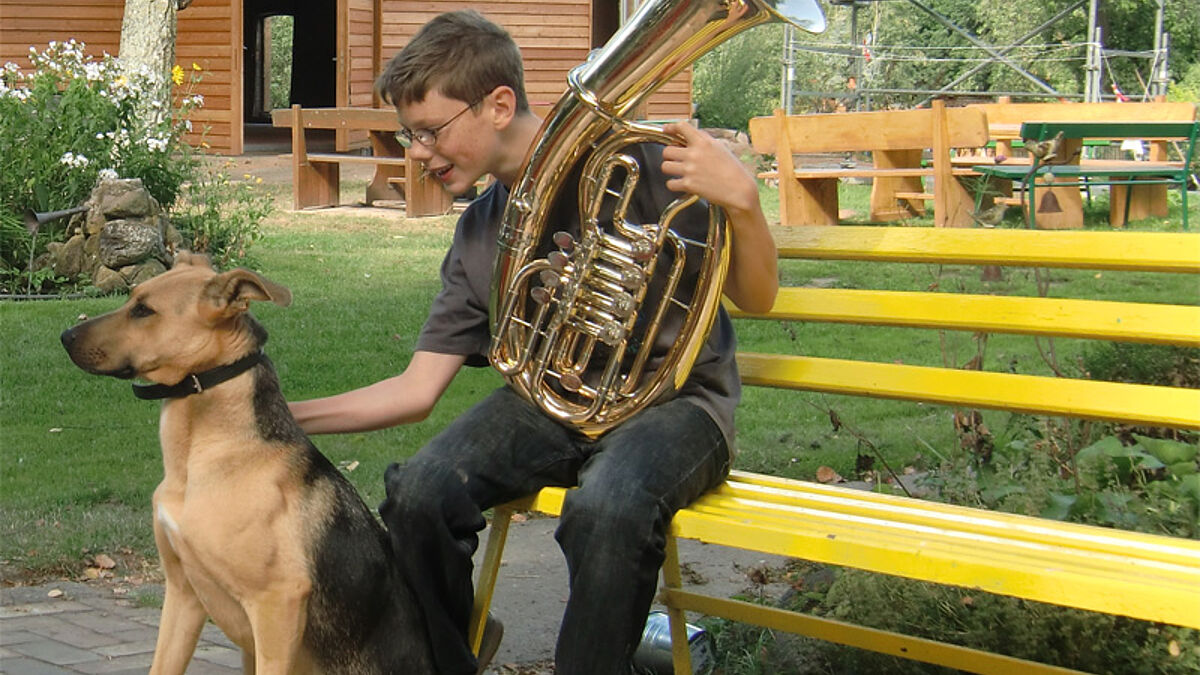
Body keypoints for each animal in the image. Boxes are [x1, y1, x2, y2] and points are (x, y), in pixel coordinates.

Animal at [60, 253, 436, 672]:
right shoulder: (182, 593)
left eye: (144, 310)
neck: (198, 457)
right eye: (131, 299)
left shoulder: (277, 604)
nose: (65, 337)